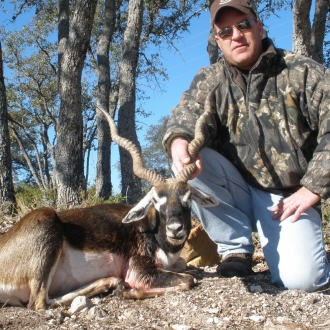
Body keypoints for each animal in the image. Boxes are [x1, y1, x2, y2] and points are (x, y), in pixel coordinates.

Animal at [0, 91, 218, 310]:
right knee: (38, 303)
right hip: (46, 227)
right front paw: (129, 290)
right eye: (156, 200)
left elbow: (183, 265)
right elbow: (188, 279)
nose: (175, 229)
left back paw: (109, 283)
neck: (152, 232)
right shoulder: (139, 271)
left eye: (187, 197)